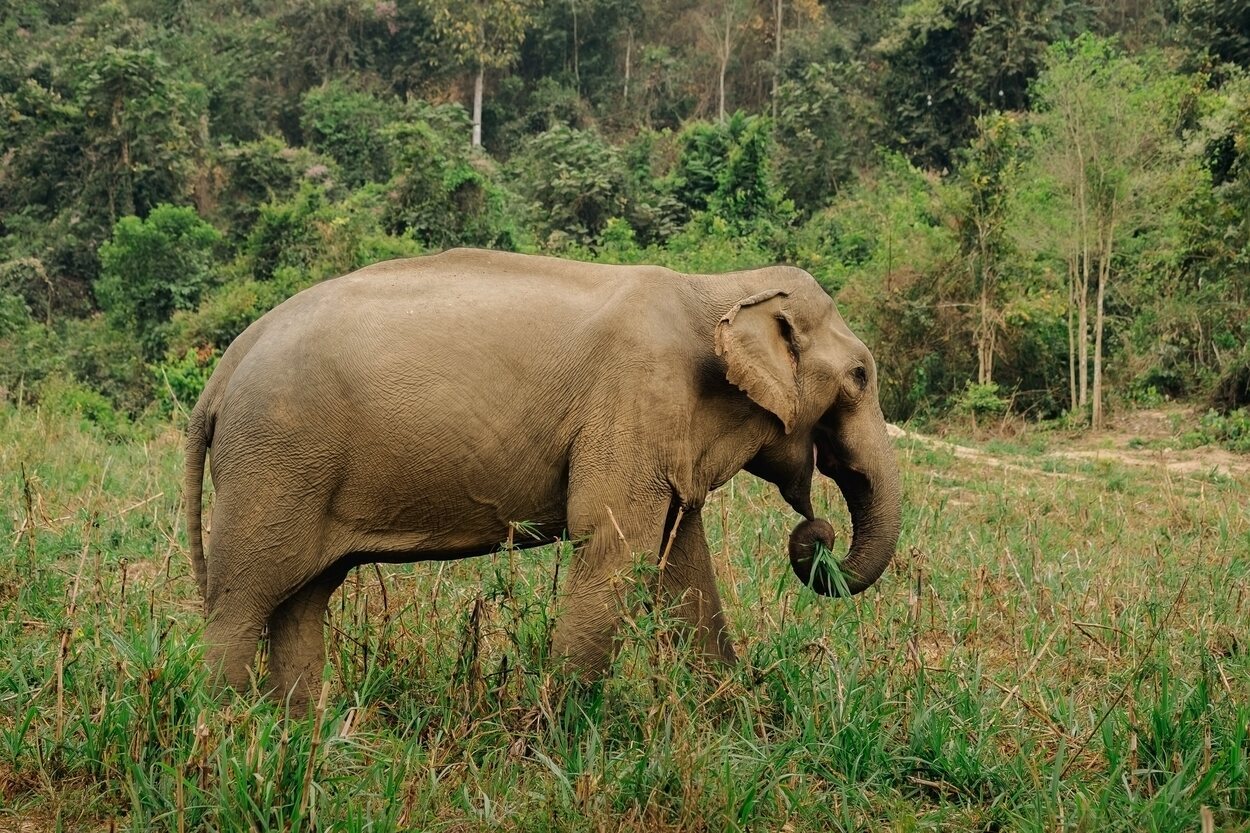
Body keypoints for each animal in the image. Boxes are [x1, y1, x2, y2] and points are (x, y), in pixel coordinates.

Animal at [185, 245, 900, 700]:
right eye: (861, 376)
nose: (817, 534)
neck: (718, 286)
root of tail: (224, 368)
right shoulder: (631, 403)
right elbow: (615, 548)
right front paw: (557, 736)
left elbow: (681, 560)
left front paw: (735, 727)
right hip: (275, 461)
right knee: (244, 601)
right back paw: (222, 736)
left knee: (302, 599)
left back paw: (300, 739)